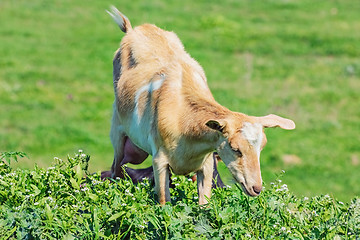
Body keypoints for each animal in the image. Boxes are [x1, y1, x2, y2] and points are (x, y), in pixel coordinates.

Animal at [105, 6, 296, 203]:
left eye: (261, 147)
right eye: (235, 149)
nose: (256, 188)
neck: (183, 120)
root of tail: (133, 30)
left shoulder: (206, 164)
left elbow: (204, 204)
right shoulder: (159, 161)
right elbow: (164, 202)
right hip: (118, 136)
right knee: (115, 171)